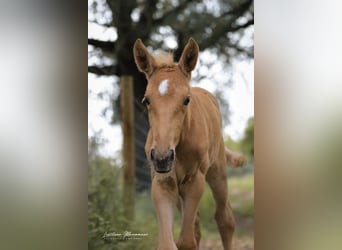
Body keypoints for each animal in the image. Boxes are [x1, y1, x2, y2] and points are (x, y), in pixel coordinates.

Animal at [133, 37, 243, 250]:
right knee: (197, 225)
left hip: (217, 172)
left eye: (186, 100)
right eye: (146, 100)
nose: (162, 158)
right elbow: (169, 243)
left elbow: (186, 242)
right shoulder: (163, 182)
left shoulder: (195, 180)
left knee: (225, 218)